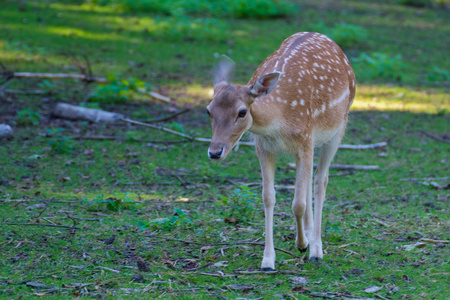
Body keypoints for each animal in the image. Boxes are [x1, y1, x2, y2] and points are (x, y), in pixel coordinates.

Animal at [207, 32, 356, 270]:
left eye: (242, 112)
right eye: (208, 110)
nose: (214, 152)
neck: (278, 122)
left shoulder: (305, 138)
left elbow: (298, 203)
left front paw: (303, 245)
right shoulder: (263, 147)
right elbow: (268, 197)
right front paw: (268, 260)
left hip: (338, 128)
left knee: (320, 180)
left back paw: (316, 249)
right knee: (310, 180)